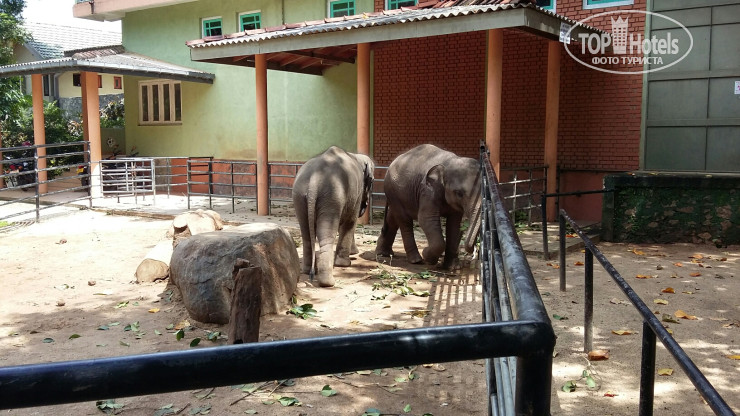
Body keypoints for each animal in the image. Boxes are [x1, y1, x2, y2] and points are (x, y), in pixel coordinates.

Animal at [292, 146, 375, 287]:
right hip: (332, 196)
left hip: (299, 195)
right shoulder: (356, 193)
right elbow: (350, 221)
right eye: (373, 180)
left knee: (306, 233)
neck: (355, 156)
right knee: (326, 232)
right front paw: (345, 263)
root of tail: (314, 178)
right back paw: (328, 282)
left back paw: (308, 271)